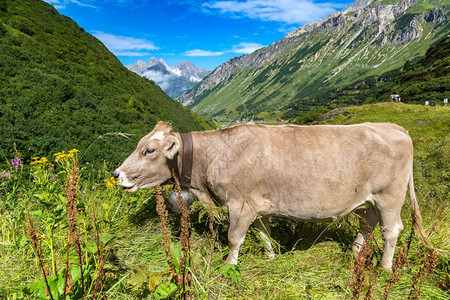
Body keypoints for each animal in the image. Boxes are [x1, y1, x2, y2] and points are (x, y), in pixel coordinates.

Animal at [112, 120, 432, 268]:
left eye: (148, 150)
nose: (117, 175)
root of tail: (394, 127)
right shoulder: (259, 205)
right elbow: (263, 233)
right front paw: (270, 257)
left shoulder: (240, 204)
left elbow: (234, 237)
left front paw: (229, 266)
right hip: (368, 200)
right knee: (368, 224)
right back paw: (355, 253)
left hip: (390, 197)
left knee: (391, 231)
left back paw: (384, 268)